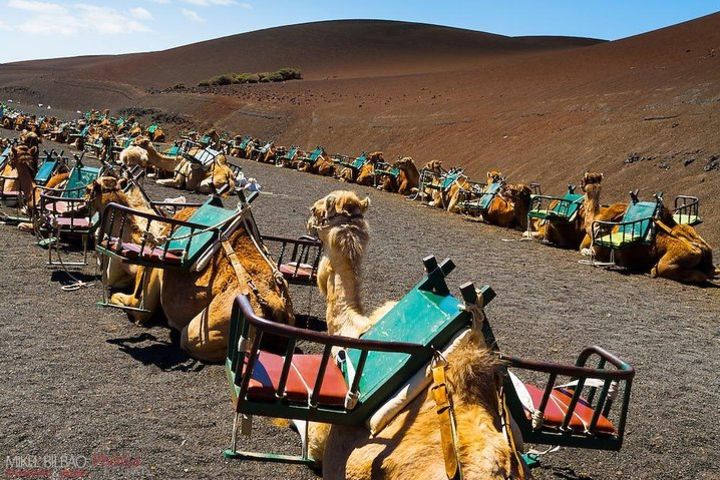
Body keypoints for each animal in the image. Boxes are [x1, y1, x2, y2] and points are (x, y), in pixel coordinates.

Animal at [92, 177, 296, 360]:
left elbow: (126, 302)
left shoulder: (149, 282)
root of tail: (275, 304)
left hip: (214, 325)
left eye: (89, 191)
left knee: (192, 339)